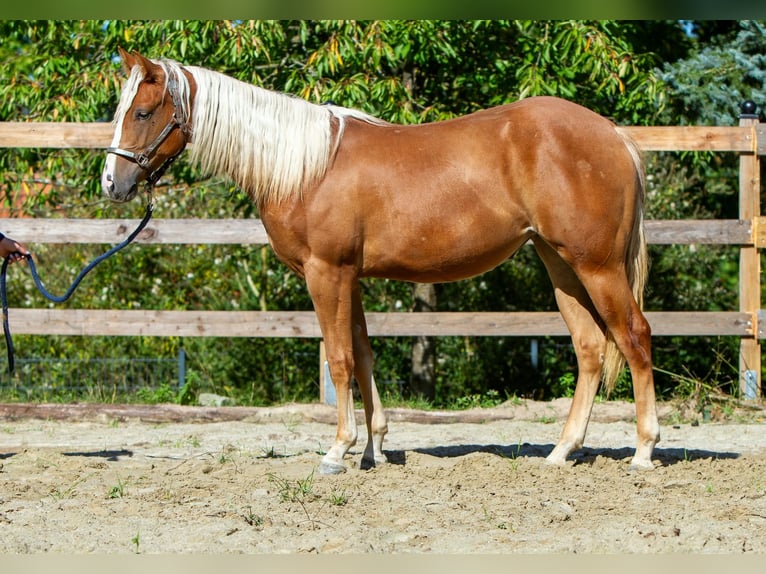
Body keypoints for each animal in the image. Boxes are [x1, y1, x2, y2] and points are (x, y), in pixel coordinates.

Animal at [101, 48, 660, 474]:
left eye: (143, 113)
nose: (112, 183)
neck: (306, 167)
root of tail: (613, 134)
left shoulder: (326, 273)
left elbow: (340, 358)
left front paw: (337, 452)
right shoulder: (351, 277)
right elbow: (364, 355)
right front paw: (374, 448)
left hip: (598, 266)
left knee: (634, 336)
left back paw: (643, 451)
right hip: (560, 263)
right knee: (590, 347)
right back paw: (562, 451)